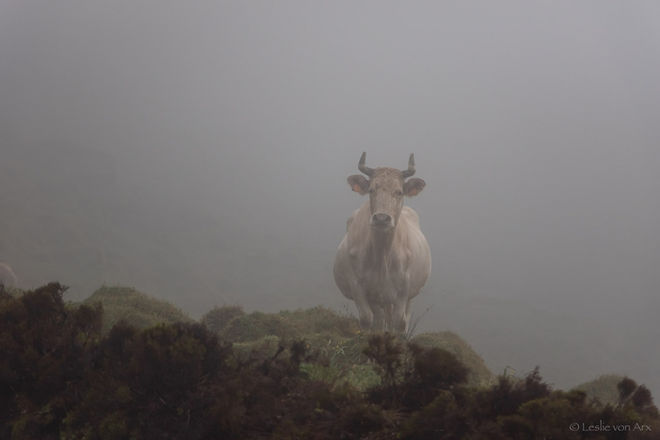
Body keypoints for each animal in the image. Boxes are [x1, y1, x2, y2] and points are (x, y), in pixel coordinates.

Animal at [333, 153, 431, 332]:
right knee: (380, 319)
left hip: (407, 296)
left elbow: (399, 322)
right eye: (371, 190)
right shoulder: (358, 287)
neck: (382, 255)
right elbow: (367, 319)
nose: (381, 218)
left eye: (399, 192)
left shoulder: (403, 290)